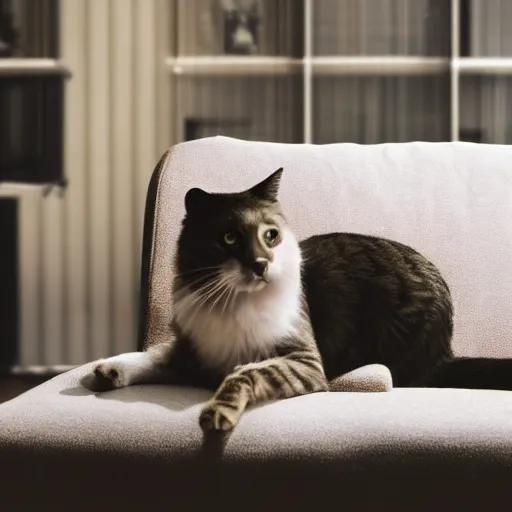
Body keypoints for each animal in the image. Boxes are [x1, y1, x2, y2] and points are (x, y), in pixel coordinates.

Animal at [81, 168, 512, 432]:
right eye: (229, 238)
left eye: (270, 235)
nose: (261, 264)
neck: (232, 301)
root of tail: (445, 350)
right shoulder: (193, 348)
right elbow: (153, 354)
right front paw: (109, 370)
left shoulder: (304, 361)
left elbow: (245, 373)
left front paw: (218, 412)